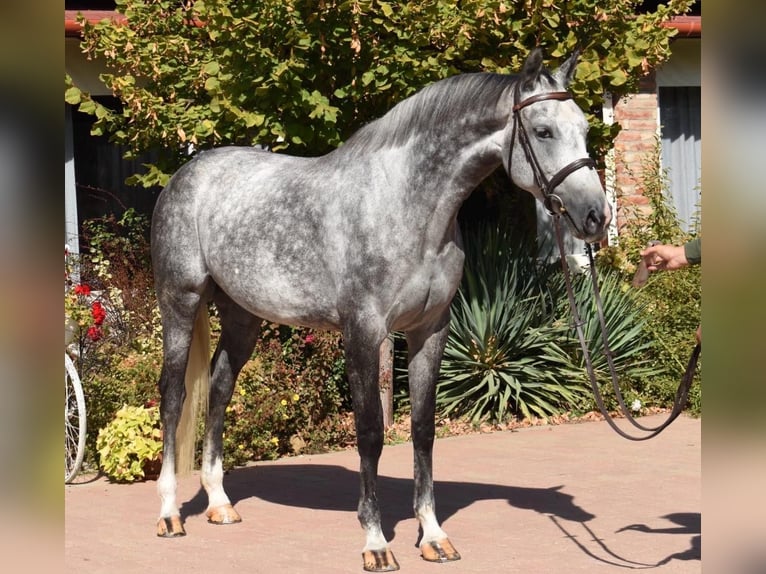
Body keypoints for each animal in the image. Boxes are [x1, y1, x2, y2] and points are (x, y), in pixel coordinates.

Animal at [151, 47, 611, 572]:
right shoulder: (364, 332)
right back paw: (170, 514)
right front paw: (375, 542)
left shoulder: (430, 330)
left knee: (220, 389)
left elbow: (423, 430)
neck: (404, 204)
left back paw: (220, 503)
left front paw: (433, 536)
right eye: (543, 130)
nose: (596, 217)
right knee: (173, 395)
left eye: (585, 128)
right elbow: (370, 431)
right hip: (181, 301)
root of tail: (189, 173)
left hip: (243, 316)